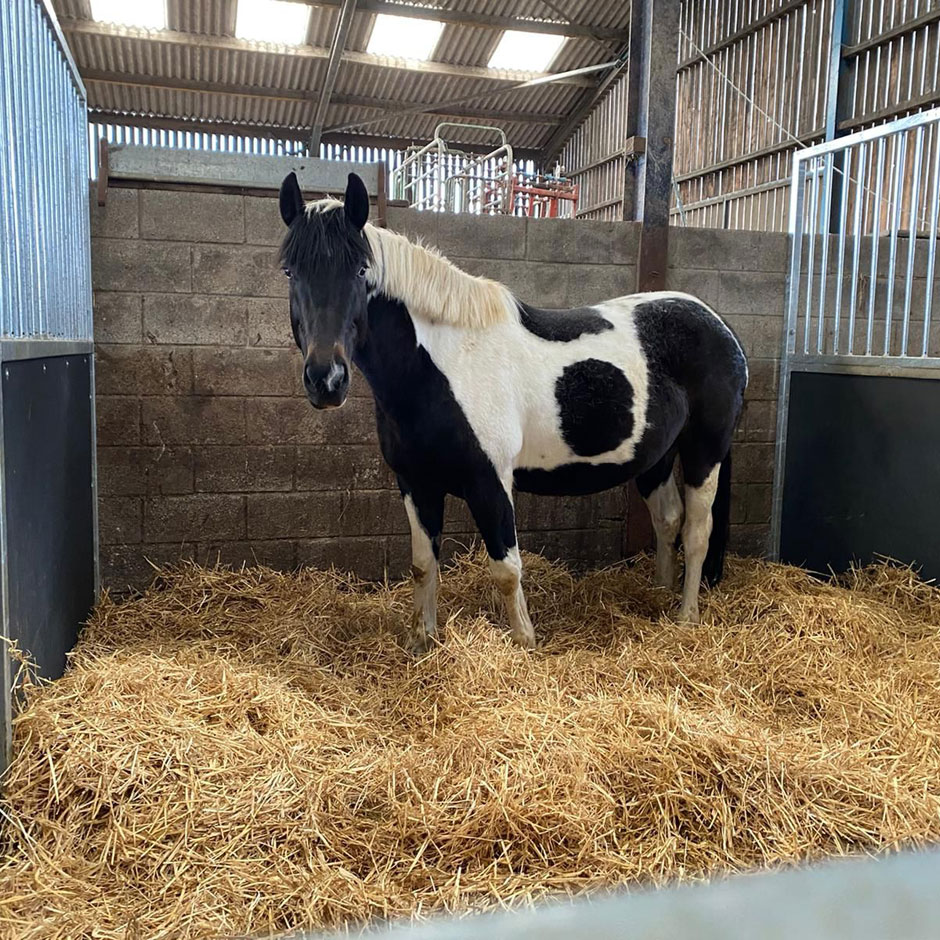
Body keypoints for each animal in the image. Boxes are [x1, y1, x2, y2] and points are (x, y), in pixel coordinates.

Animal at [278, 171, 748, 654]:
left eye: (360, 270)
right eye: (291, 271)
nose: (326, 380)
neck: (444, 365)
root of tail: (718, 325)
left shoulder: (490, 482)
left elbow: (506, 569)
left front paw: (525, 642)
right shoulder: (415, 483)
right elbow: (423, 566)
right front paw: (421, 641)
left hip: (704, 451)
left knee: (697, 531)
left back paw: (686, 616)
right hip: (656, 457)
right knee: (668, 519)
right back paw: (659, 593)